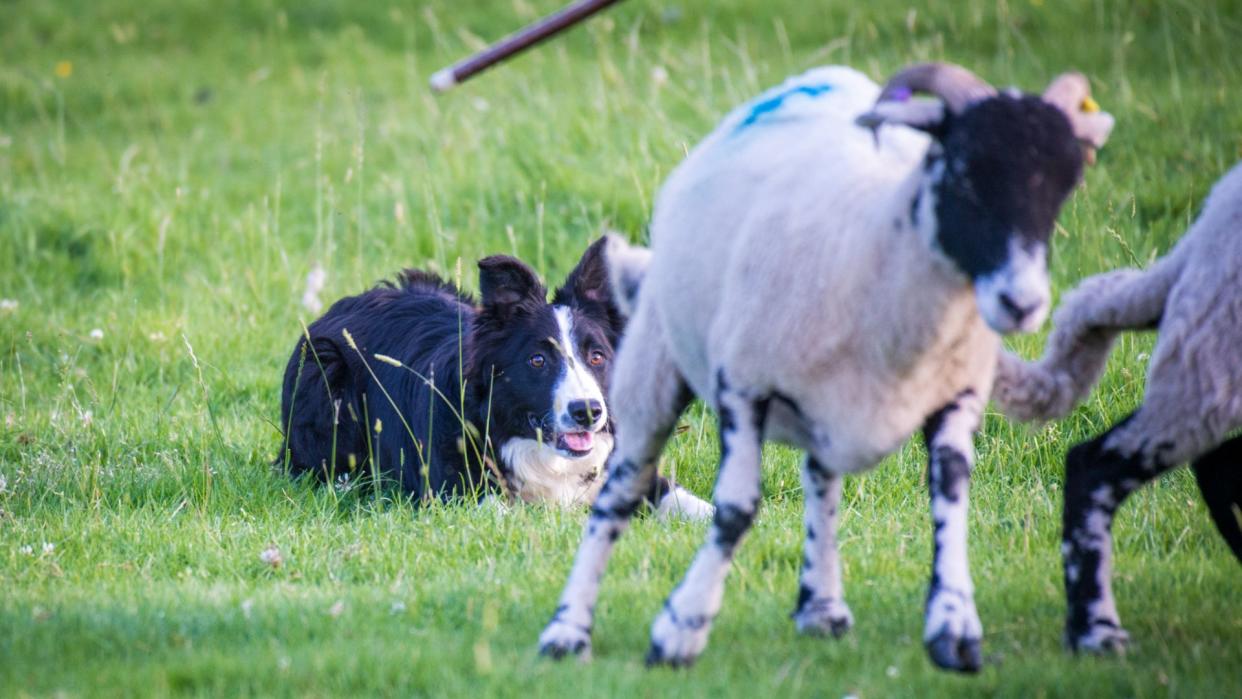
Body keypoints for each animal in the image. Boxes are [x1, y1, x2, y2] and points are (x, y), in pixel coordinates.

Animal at [278, 238, 715, 516]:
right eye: (537, 360)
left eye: (597, 356)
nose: (588, 412)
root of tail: (342, 306)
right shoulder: (455, 490)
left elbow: (690, 503)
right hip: (326, 381)